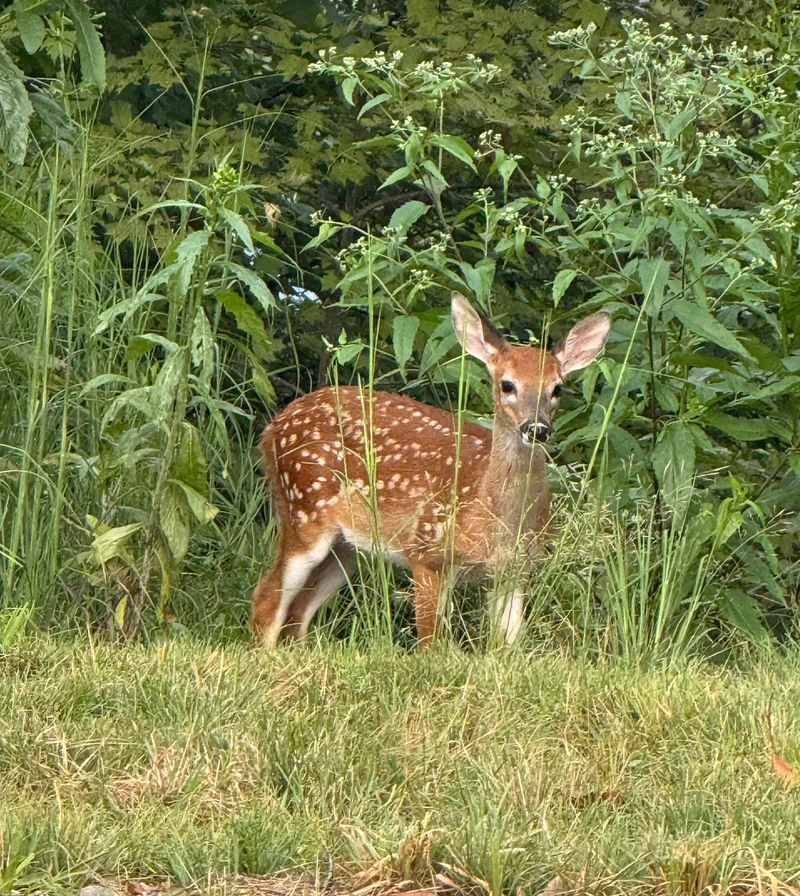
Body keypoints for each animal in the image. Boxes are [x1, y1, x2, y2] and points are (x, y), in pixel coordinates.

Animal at [252, 292, 611, 648]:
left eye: (557, 388)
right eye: (507, 385)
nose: (536, 427)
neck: (492, 512)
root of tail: (271, 428)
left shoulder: (513, 570)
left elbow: (506, 646)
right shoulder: (426, 552)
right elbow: (430, 646)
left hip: (347, 546)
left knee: (298, 610)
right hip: (304, 512)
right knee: (266, 599)